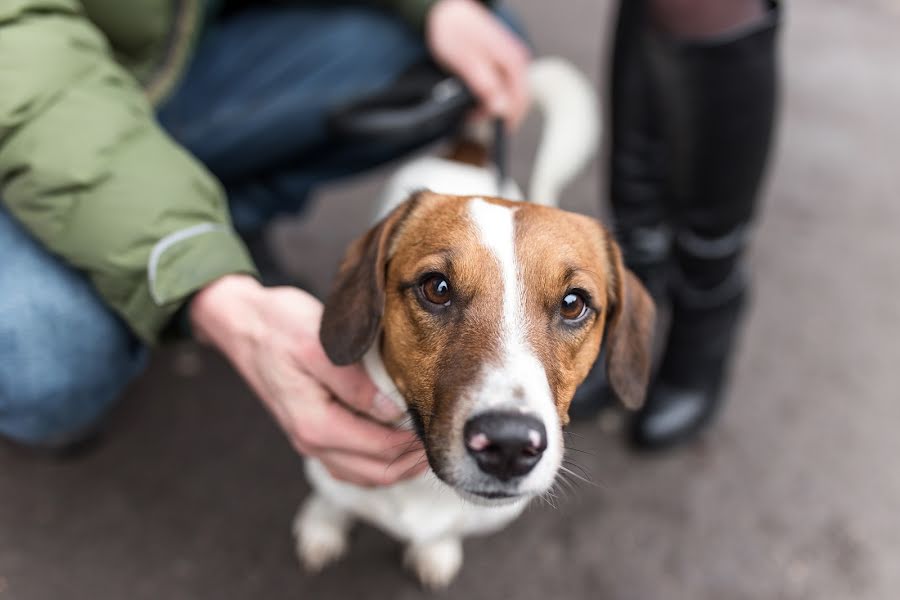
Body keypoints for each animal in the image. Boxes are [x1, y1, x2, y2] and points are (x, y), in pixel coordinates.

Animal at [294, 58, 652, 588]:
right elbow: (332, 496)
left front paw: (435, 549)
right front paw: (322, 525)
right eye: (437, 288)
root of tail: (471, 155)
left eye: (573, 304)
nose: (508, 445)